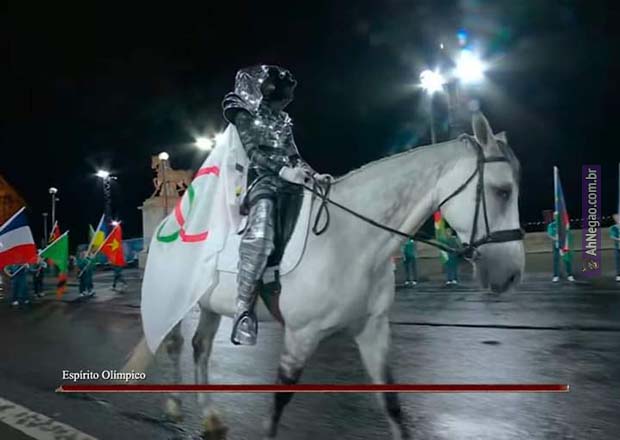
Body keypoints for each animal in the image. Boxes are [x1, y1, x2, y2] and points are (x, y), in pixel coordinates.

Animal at [125, 112, 525, 439]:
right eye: (502, 191)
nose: (511, 275)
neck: (352, 239)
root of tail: (166, 222)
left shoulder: (372, 329)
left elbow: (392, 403)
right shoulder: (301, 335)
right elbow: (277, 407)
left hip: (209, 305)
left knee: (201, 348)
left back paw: (209, 417)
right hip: (176, 299)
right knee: (174, 343)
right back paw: (174, 405)